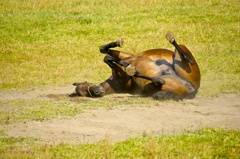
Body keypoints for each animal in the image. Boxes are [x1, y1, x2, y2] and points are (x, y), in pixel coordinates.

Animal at [71, 32, 201, 100]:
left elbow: (104, 51)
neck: (114, 82)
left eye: (85, 85)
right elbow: (108, 58)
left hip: (182, 55)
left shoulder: (127, 56)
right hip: (151, 86)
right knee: (157, 82)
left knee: (187, 58)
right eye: (83, 93)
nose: (97, 91)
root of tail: (193, 89)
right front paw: (129, 68)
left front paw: (117, 43)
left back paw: (171, 40)